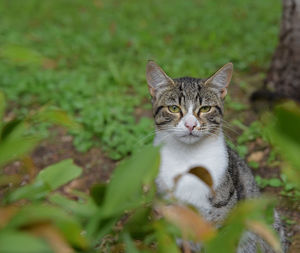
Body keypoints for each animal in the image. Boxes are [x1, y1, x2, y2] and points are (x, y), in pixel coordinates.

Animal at [146, 60, 288, 252]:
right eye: (173, 108)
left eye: (205, 108)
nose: (191, 125)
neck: (187, 159)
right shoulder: (170, 211)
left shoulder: (224, 217)